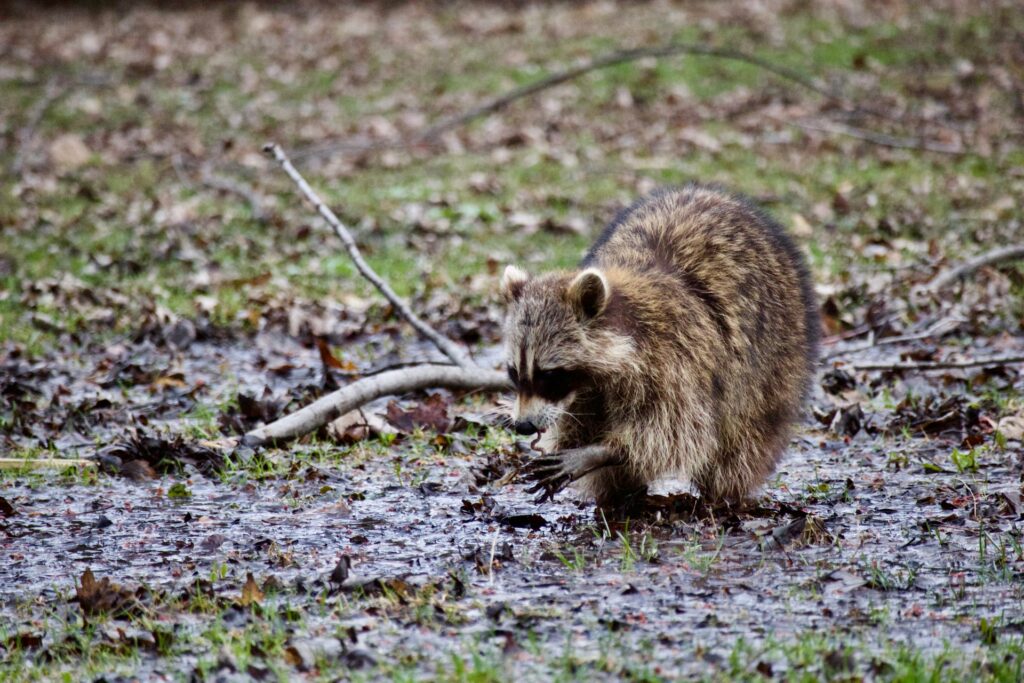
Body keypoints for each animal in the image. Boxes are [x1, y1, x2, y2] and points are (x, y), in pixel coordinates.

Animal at [499, 185, 819, 507]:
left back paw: (721, 494)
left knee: (742, 437)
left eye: (550, 374)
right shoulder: (590, 388)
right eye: (514, 372)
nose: (523, 426)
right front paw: (580, 445)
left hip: (776, 362)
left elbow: (676, 431)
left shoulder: (679, 356)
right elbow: (582, 418)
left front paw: (604, 451)